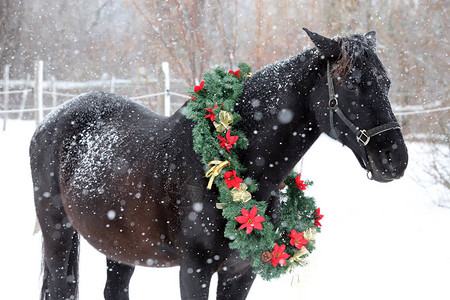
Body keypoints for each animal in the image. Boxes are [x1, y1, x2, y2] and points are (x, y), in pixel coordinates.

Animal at [28, 28, 408, 300]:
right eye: (353, 84)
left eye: (387, 83)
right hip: (57, 234)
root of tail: (53, 119)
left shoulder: (240, 272)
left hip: (121, 246)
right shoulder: (193, 271)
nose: (396, 160)